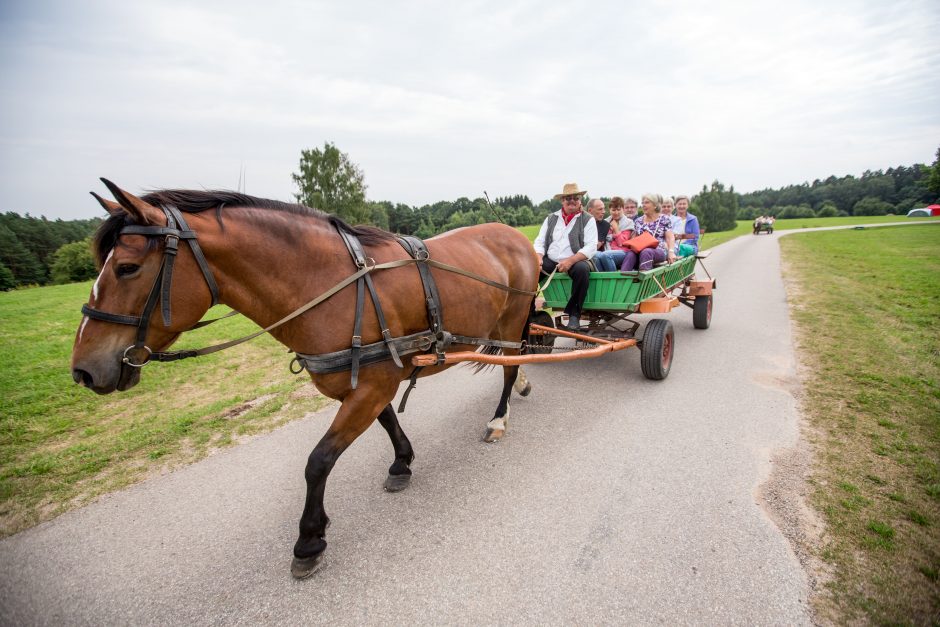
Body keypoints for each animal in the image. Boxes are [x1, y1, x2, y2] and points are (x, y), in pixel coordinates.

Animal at [70, 180, 540, 580]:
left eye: (127, 267)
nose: (83, 370)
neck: (334, 286)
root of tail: (513, 234)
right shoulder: (366, 385)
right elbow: (388, 421)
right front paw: (402, 462)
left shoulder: (370, 387)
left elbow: (318, 462)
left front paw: (309, 540)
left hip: (512, 320)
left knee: (510, 365)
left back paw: (500, 416)